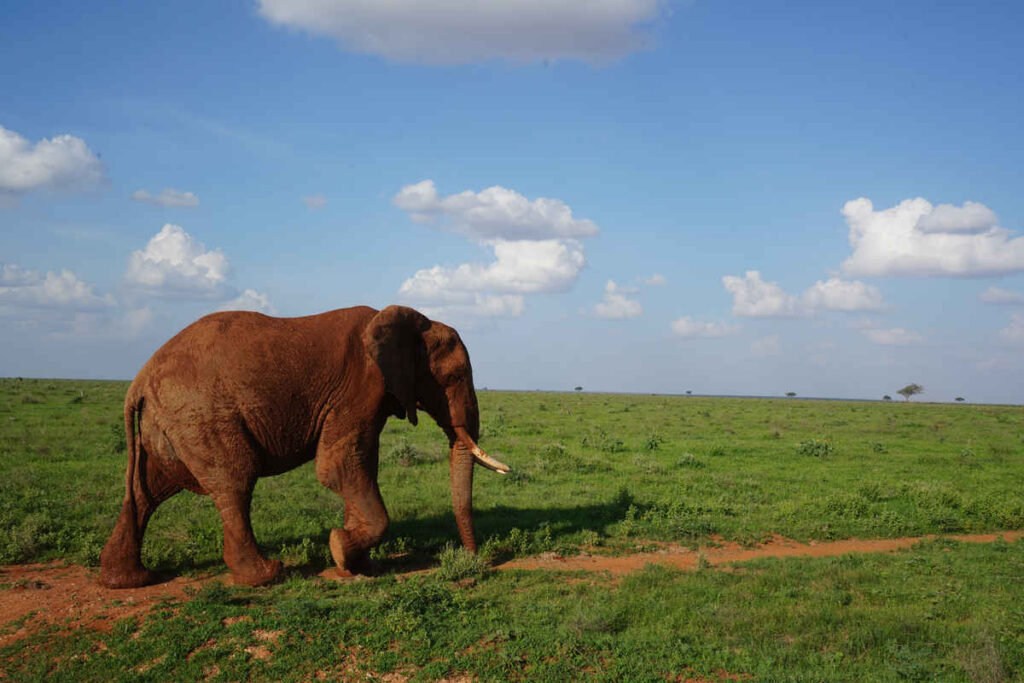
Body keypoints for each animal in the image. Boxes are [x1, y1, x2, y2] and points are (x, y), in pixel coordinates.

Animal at [99, 305, 510, 588]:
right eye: (454, 376)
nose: (473, 561)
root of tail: (138, 382)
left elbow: (359, 465)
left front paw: (357, 566)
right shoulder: (360, 386)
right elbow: (336, 467)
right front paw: (340, 549)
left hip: (166, 425)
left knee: (149, 491)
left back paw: (128, 580)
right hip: (199, 416)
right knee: (235, 481)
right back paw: (265, 575)